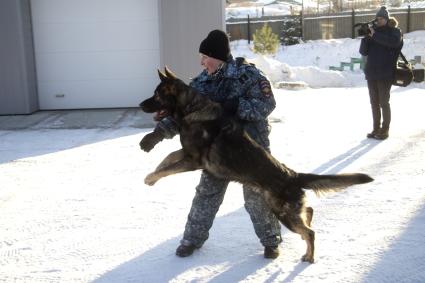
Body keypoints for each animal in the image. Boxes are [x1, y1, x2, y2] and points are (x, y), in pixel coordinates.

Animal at [139, 68, 372, 264]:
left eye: (156, 95)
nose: (141, 105)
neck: (191, 109)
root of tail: (293, 175)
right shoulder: (186, 154)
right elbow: (167, 158)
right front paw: (153, 170)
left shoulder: (193, 160)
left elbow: (168, 168)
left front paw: (150, 178)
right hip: (284, 209)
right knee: (310, 212)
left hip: (283, 213)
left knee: (310, 232)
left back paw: (309, 256)